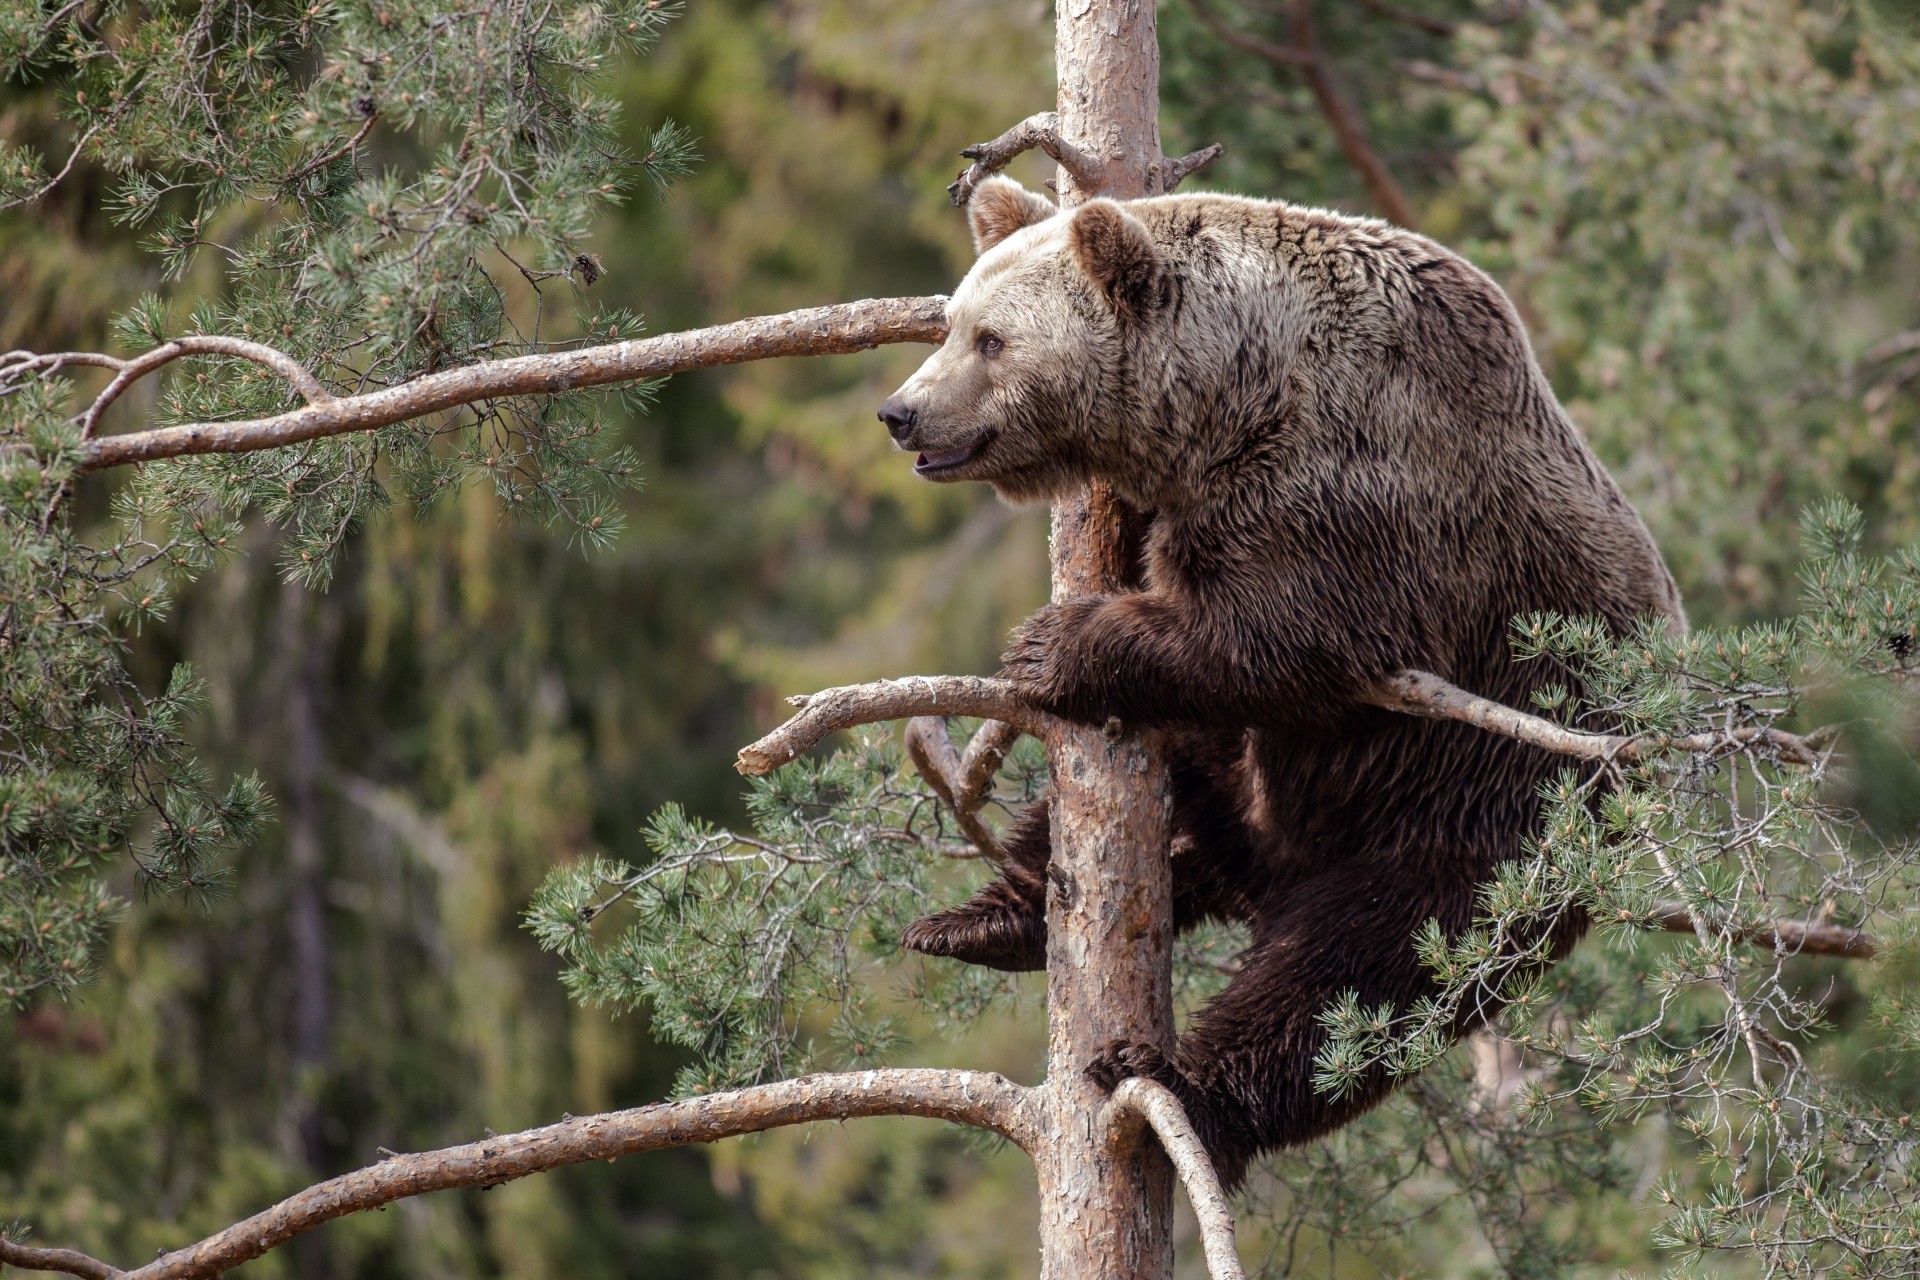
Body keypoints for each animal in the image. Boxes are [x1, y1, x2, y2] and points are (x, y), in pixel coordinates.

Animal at [875, 176, 1683, 1189]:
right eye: (951, 323)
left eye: (991, 339)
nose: (900, 412)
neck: (1233, 396)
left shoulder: (1354, 490)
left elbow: (1286, 636)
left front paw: (1051, 644)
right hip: (1268, 783)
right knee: (1159, 798)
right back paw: (983, 921)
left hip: (1492, 806)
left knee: (1358, 977)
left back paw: (1178, 1084)